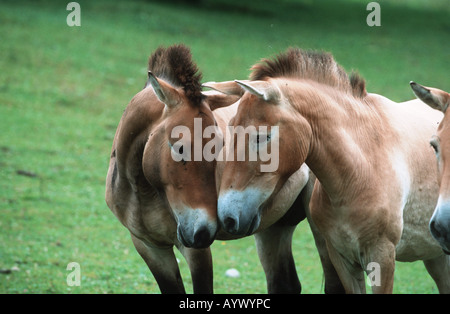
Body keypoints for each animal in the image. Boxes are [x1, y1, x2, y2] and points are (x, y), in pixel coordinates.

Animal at [104, 44, 320, 294]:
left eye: (219, 147)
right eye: (180, 148)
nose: (203, 231)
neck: (142, 191)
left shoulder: (195, 250)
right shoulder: (149, 247)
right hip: (273, 228)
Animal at [216, 47, 448, 294]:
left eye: (262, 136)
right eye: (230, 128)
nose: (228, 217)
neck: (361, 170)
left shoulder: (382, 257)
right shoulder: (342, 258)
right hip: (436, 256)